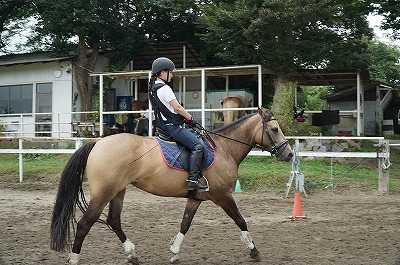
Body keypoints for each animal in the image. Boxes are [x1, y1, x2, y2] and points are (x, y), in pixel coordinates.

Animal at [50, 107, 294, 264]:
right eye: (274, 129)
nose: (289, 154)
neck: (224, 149)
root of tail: (98, 142)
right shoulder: (223, 196)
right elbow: (241, 221)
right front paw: (254, 250)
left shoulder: (195, 198)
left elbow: (185, 224)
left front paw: (175, 252)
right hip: (104, 193)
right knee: (85, 224)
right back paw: (75, 259)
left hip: (118, 190)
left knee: (113, 220)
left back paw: (132, 253)